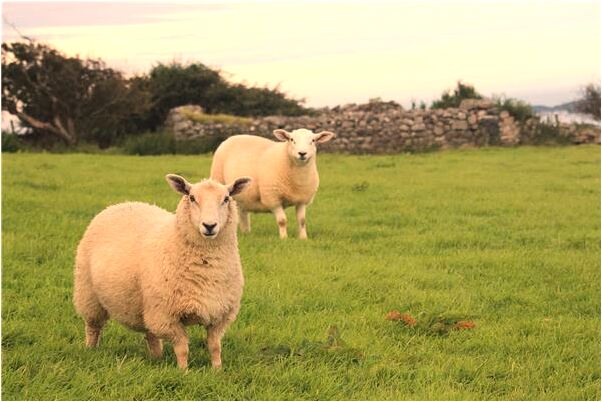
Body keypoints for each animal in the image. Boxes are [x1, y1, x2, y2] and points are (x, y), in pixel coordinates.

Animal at [73, 174, 251, 370]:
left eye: (226, 199)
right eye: (192, 198)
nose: (209, 225)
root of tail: (121, 204)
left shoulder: (220, 315)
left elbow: (215, 346)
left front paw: (217, 370)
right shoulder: (167, 316)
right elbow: (182, 348)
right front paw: (183, 371)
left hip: (146, 305)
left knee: (150, 333)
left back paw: (157, 357)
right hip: (89, 294)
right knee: (93, 327)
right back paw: (91, 349)